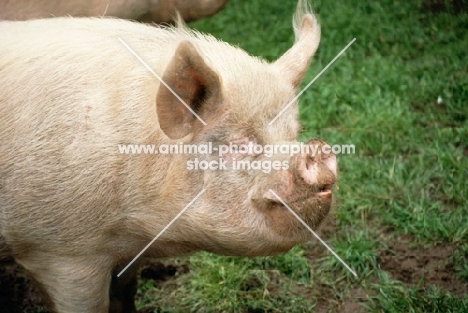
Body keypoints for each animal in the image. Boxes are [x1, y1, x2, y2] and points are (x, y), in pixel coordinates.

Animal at [0, 0, 336, 312]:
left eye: (293, 134)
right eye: (239, 144)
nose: (317, 150)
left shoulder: (127, 252)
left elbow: (125, 293)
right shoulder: (60, 252)